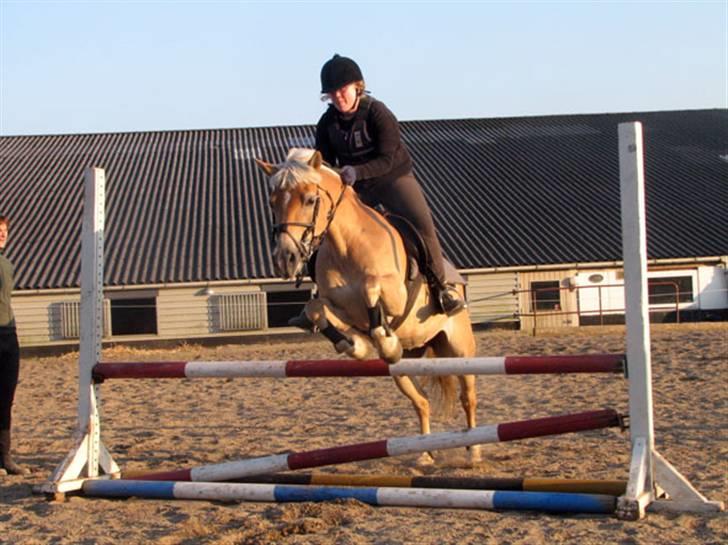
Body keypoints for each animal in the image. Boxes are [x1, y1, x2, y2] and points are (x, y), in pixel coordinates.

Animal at [256, 149, 484, 464]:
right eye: (272, 202)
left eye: (310, 200)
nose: (285, 260)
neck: (346, 245)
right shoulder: (337, 307)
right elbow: (316, 309)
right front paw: (357, 345)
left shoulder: (394, 294)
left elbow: (371, 289)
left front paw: (384, 341)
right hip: (403, 370)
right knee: (422, 402)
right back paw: (424, 454)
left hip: (460, 348)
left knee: (467, 397)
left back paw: (473, 451)